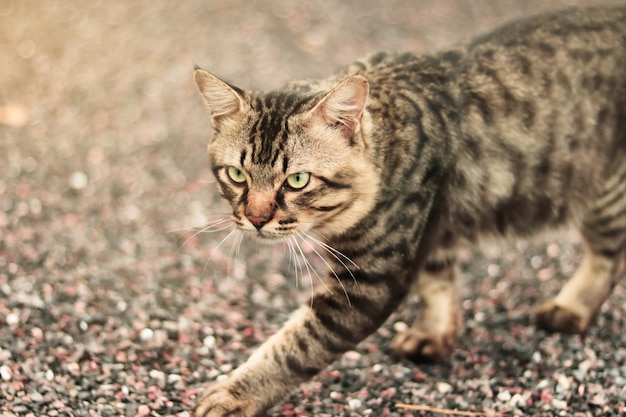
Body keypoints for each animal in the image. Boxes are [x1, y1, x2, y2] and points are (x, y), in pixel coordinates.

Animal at [190, 7, 624, 416]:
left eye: (297, 180)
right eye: (236, 175)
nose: (256, 219)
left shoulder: (370, 279)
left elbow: (292, 349)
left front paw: (234, 394)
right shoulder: (428, 232)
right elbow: (437, 284)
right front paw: (435, 333)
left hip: (607, 195)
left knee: (608, 259)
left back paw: (572, 307)